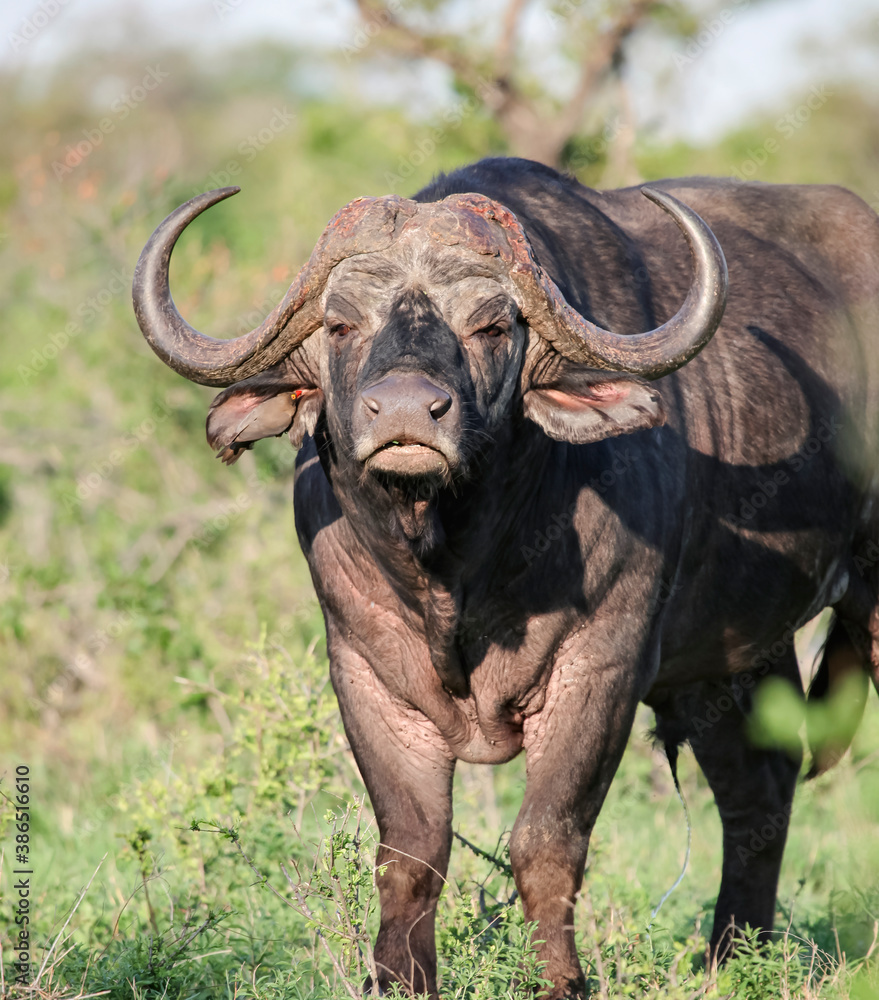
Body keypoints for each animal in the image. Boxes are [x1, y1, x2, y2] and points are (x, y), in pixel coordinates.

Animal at [133, 157, 878, 999]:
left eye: (490, 326)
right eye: (340, 325)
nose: (405, 413)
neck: (454, 565)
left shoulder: (600, 671)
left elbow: (544, 843)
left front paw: (558, 981)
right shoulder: (366, 675)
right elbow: (410, 850)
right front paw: (400, 980)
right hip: (727, 660)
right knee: (758, 786)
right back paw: (731, 958)